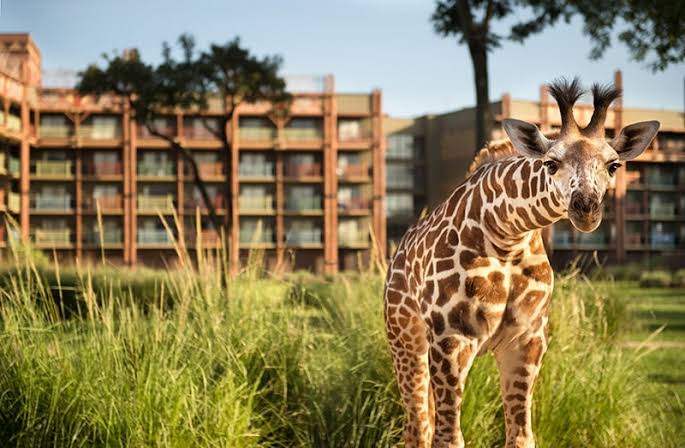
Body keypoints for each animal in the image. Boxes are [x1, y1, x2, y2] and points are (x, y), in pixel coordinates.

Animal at [383, 78, 660, 448]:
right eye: (551, 163)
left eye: (613, 165)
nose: (585, 207)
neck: (507, 235)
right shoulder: (451, 339)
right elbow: (449, 438)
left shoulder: (527, 341)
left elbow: (521, 436)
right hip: (406, 337)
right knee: (418, 426)